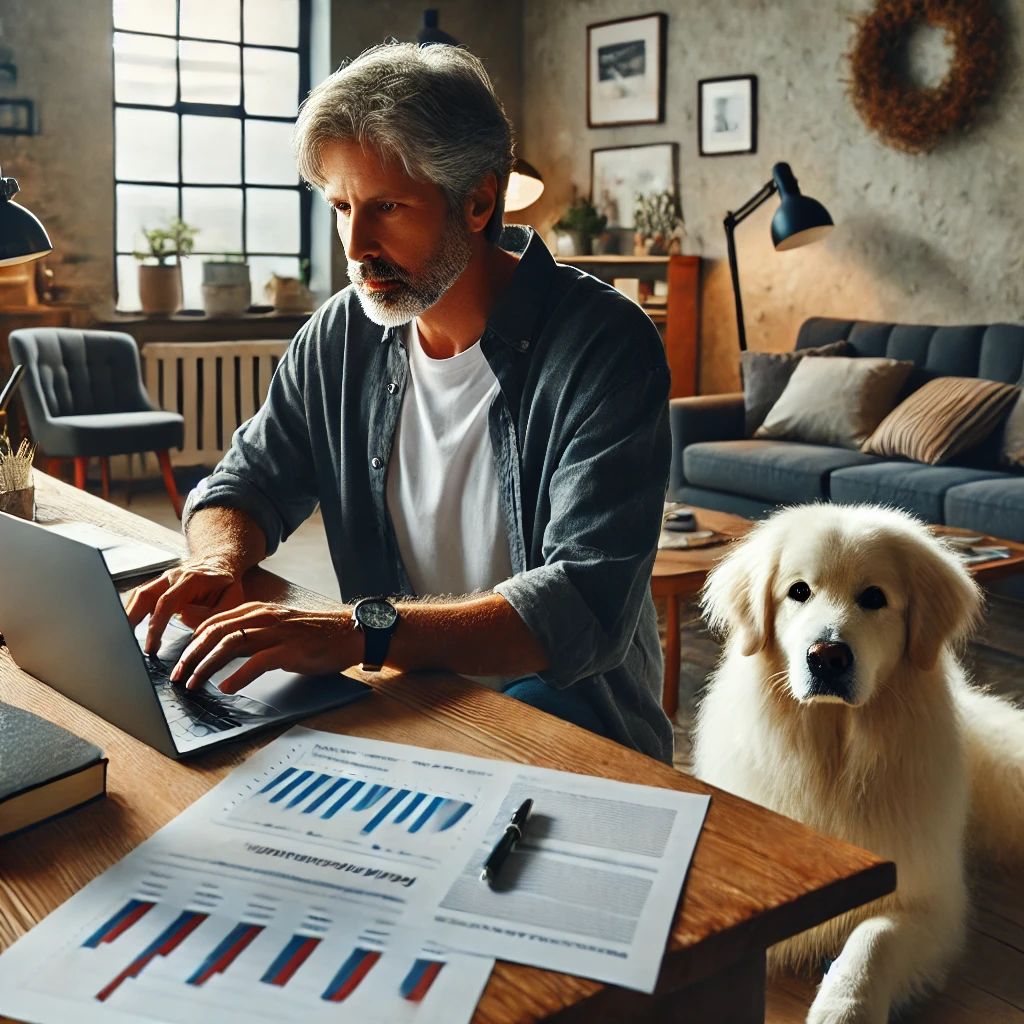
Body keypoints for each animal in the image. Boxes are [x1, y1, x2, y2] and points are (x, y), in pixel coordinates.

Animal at [696, 503, 1024, 1024]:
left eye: (874, 598)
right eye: (799, 591)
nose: (827, 657)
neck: (833, 758)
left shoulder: (926, 902)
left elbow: (871, 943)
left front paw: (844, 1009)